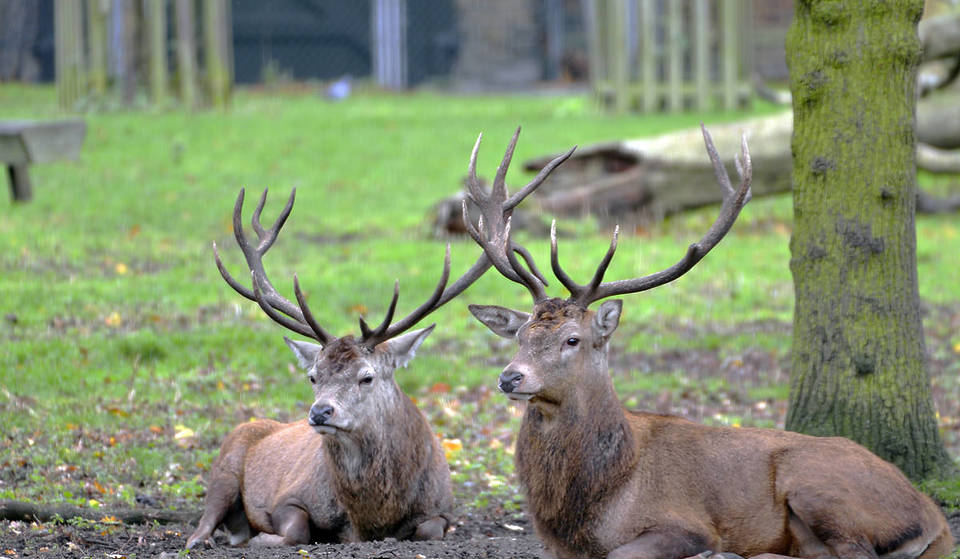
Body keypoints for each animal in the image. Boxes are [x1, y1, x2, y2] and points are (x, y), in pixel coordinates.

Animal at [185, 129, 575, 549]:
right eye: (313, 376)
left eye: (366, 376)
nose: (320, 412)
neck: (371, 515)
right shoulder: (288, 498)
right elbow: (296, 530)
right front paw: (263, 538)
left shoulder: (442, 511)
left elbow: (426, 530)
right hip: (225, 462)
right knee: (203, 522)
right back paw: (212, 537)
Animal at [465, 125, 954, 559]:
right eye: (521, 335)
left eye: (572, 339)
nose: (510, 377)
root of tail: (935, 519)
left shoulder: (685, 521)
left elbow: (623, 553)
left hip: (817, 483)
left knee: (855, 552)